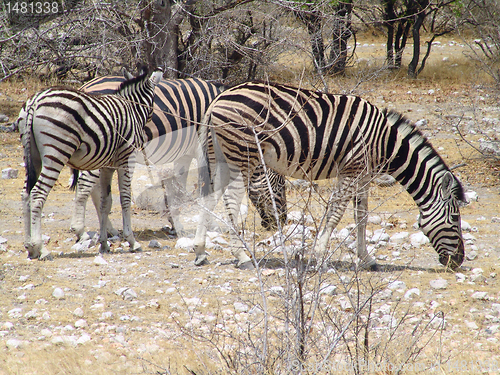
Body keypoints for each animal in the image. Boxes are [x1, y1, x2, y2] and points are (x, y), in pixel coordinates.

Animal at [19, 67, 163, 260]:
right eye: (154, 101)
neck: (131, 109)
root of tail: (35, 100)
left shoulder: (106, 165)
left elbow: (106, 202)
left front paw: (104, 244)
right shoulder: (126, 158)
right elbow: (125, 198)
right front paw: (132, 241)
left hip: (32, 155)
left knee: (26, 194)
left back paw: (29, 247)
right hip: (57, 151)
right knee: (37, 193)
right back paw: (41, 248)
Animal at [193, 81, 466, 270]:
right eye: (455, 218)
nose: (458, 261)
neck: (386, 143)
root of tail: (217, 99)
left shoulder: (363, 175)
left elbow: (361, 217)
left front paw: (366, 258)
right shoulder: (351, 170)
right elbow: (336, 213)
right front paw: (319, 257)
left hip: (220, 156)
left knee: (209, 197)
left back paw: (199, 250)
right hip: (242, 155)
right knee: (230, 200)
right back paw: (242, 257)